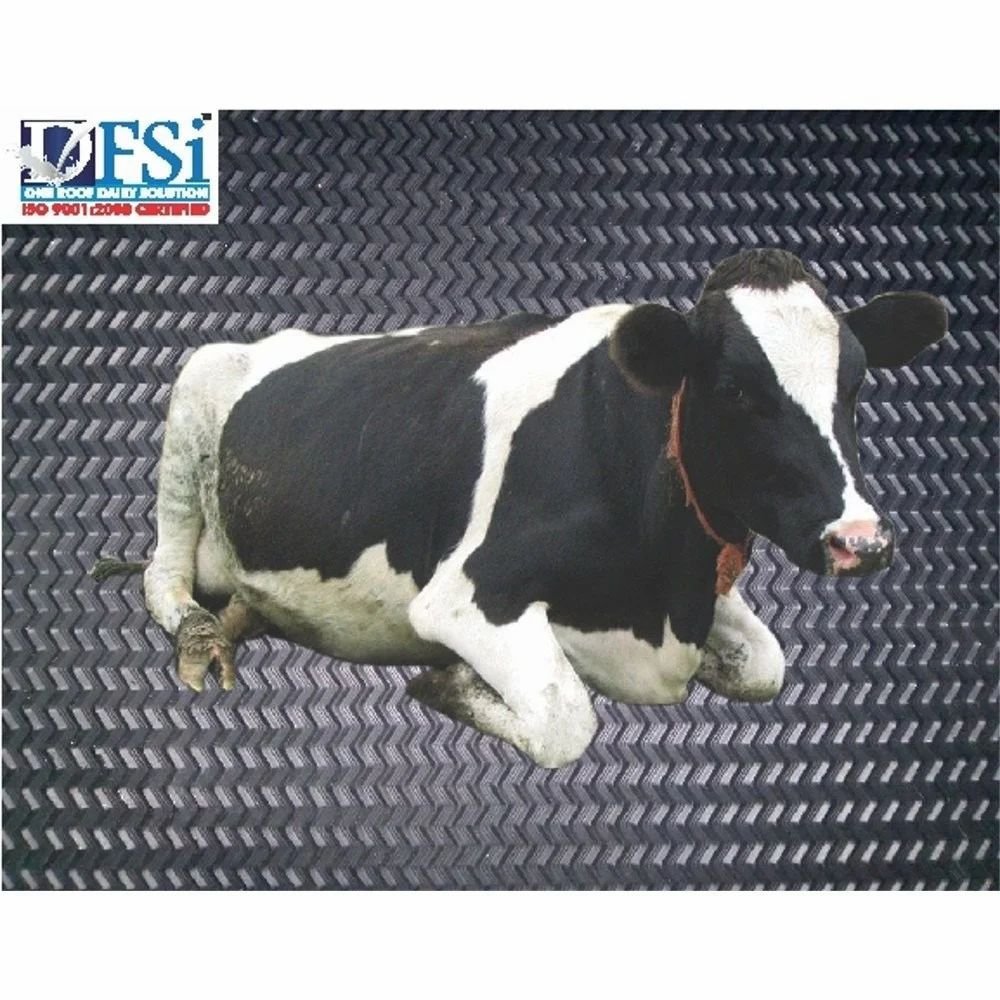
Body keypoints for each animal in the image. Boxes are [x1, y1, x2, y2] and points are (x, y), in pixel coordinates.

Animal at [94, 248, 947, 768]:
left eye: (855, 384)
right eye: (735, 390)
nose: (861, 541)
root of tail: (264, 341)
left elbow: (768, 665)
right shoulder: (466, 595)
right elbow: (567, 719)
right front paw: (448, 684)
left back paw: (245, 615)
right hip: (190, 407)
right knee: (164, 572)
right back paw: (203, 631)